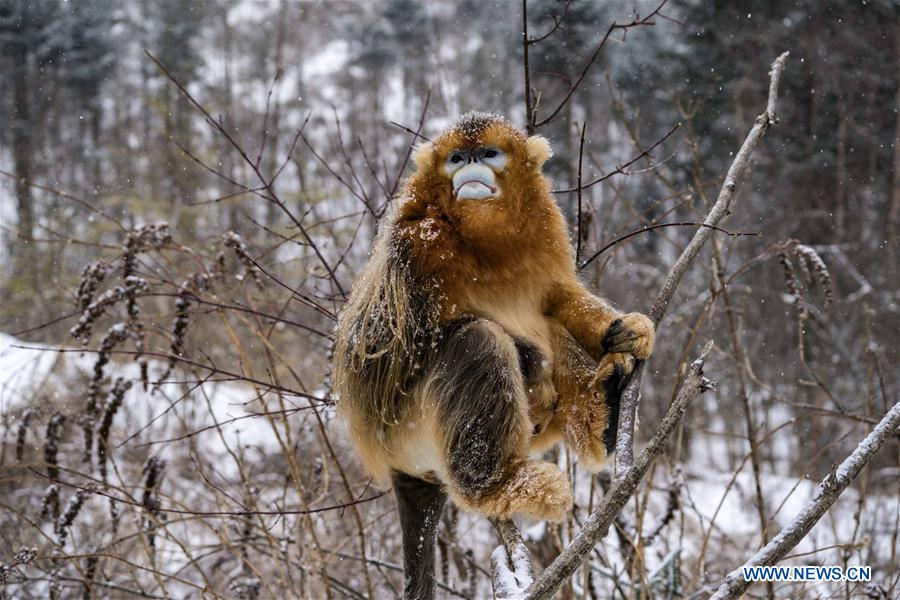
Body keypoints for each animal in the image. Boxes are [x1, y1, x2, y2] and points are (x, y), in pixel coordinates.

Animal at [332, 112, 652, 600]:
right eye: (456, 158)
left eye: (488, 153)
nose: (470, 168)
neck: (483, 236)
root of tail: (400, 470)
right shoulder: (414, 243)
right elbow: (388, 350)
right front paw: (532, 364)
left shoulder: (547, 232)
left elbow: (558, 298)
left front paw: (625, 330)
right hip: (408, 430)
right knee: (478, 340)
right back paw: (498, 485)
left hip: (529, 431)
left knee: (550, 330)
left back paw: (608, 410)